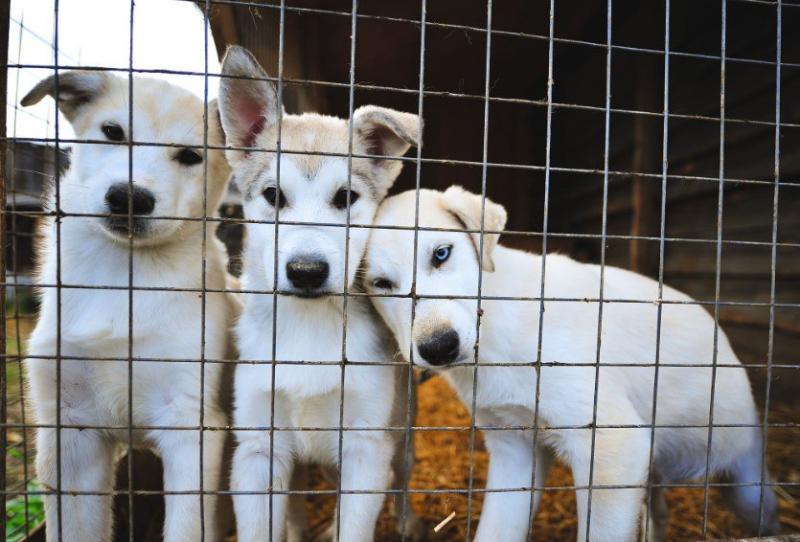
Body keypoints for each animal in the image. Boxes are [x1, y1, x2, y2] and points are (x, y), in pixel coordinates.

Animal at [21, 72, 234, 542]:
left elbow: (186, 528)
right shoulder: (70, 432)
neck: (123, 277)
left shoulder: (191, 425)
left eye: (190, 156)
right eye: (113, 132)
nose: (129, 198)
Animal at [212, 47, 424, 542]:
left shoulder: (367, 445)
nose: (306, 271)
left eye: (346, 198)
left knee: (402, 480)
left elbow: (356, 522)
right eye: (273, 195)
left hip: (400, 434)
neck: (309, 326)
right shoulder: (257, 448)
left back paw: (406, 521)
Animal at [366, 188, 780, 542]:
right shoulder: (514, 449)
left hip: (747, 488)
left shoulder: (613, 447)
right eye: (380, 283)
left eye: (441, 254)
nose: (439, 347)